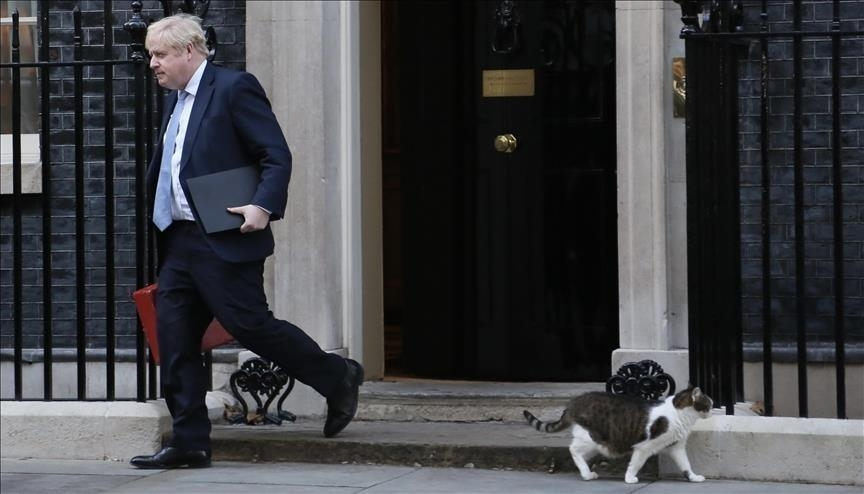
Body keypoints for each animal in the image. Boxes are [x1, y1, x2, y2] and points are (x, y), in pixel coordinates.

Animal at [524, 386, 712, 482]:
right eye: (709, 404)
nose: (713, 410)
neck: (679, 414)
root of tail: (574, 403)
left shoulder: (676, 447)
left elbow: (685, 465)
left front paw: (693, 477)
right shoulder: (644, 448)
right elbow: (635, 464)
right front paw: (629, 478)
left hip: (596, 443)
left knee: (578, 452)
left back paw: (587, 471)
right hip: (592, 438)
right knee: (573, 450)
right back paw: (586, 474)